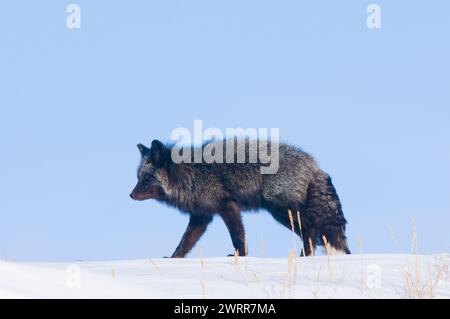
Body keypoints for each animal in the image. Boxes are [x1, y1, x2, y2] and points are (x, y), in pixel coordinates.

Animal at [130, 139, 352, 258]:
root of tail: (313, 163)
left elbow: (238, 237)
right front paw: (173, 258)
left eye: (147, 178)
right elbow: (184, 243)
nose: (130, 195)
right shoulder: (202, 217)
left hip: (280, 210)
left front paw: (241, 257)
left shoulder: (227, 207)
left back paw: (303, 257)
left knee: (311, 230)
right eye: (138, 177)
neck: (192, 175)